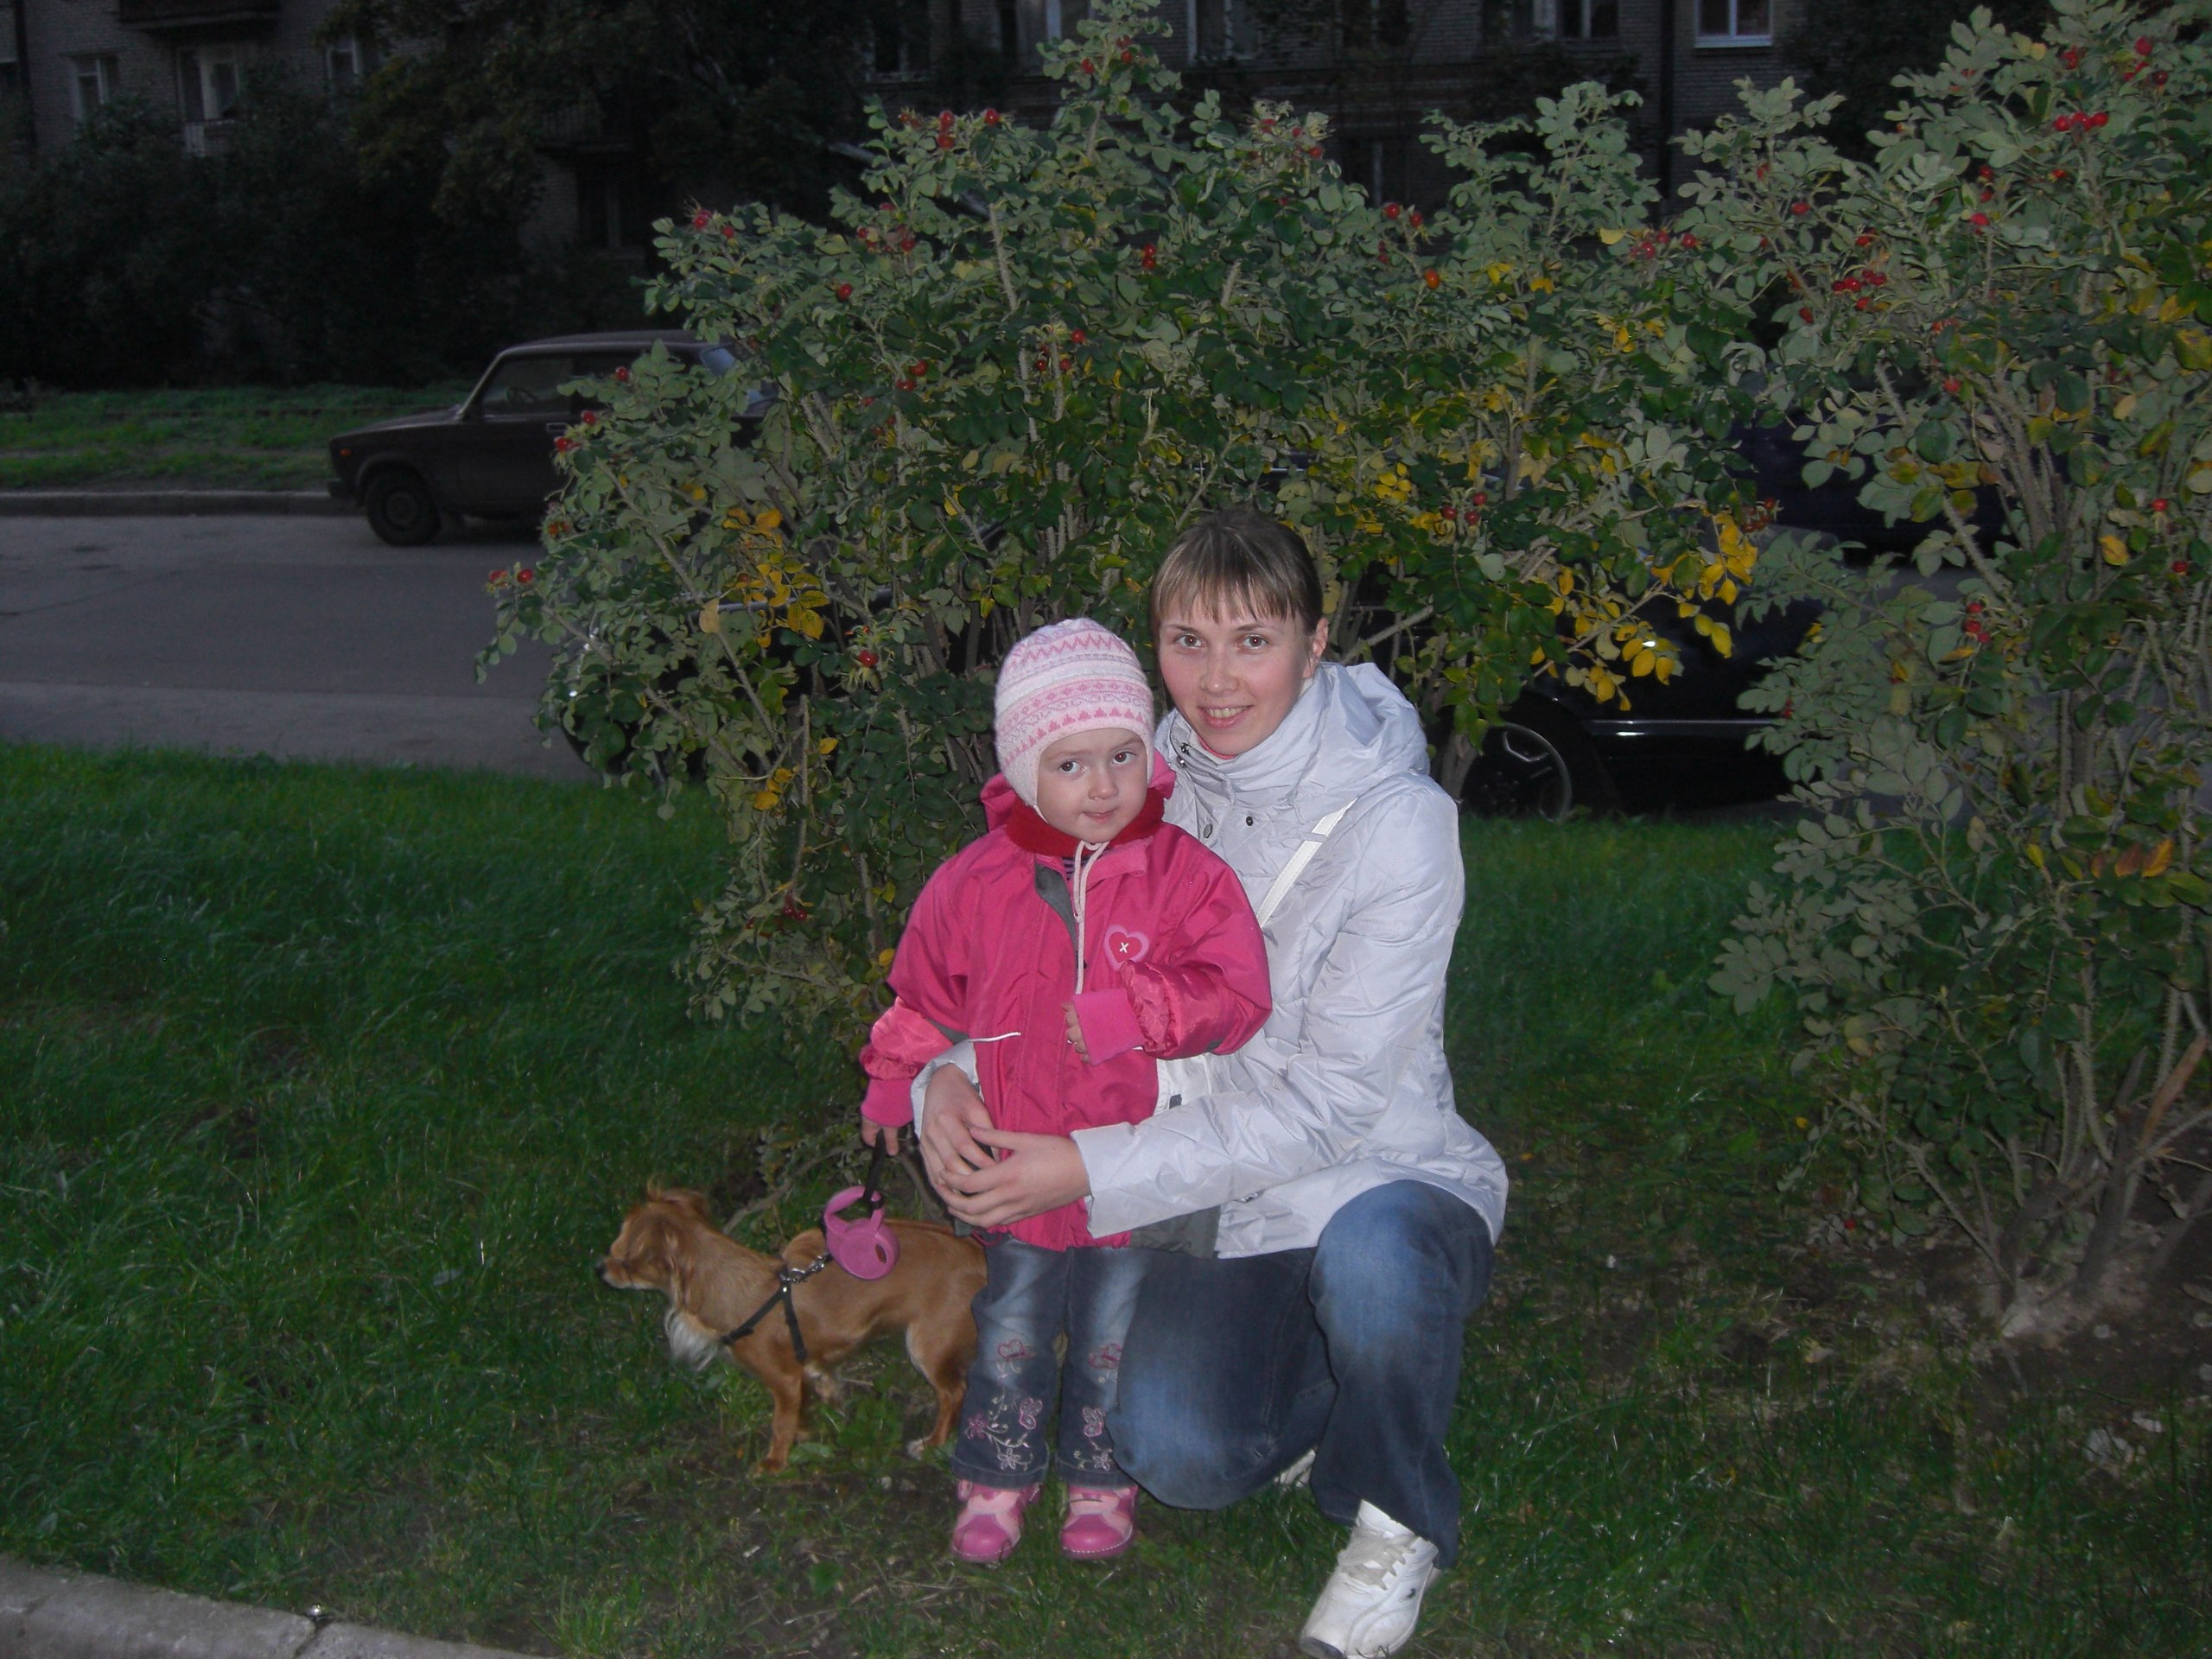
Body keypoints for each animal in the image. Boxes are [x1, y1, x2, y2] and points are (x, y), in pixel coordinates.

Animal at [598, 1185, 985, 1473]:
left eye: (625, 1261)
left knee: (954, 1393)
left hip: (926, 1344)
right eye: (612, 1248)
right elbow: (813, 1387)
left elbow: (781, 1422)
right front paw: (817, 1413)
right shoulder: (805, 1366)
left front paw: (774, 1461)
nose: (601, 1268)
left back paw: (931, 1444)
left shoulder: (782, 1378)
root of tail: (977, 1257)